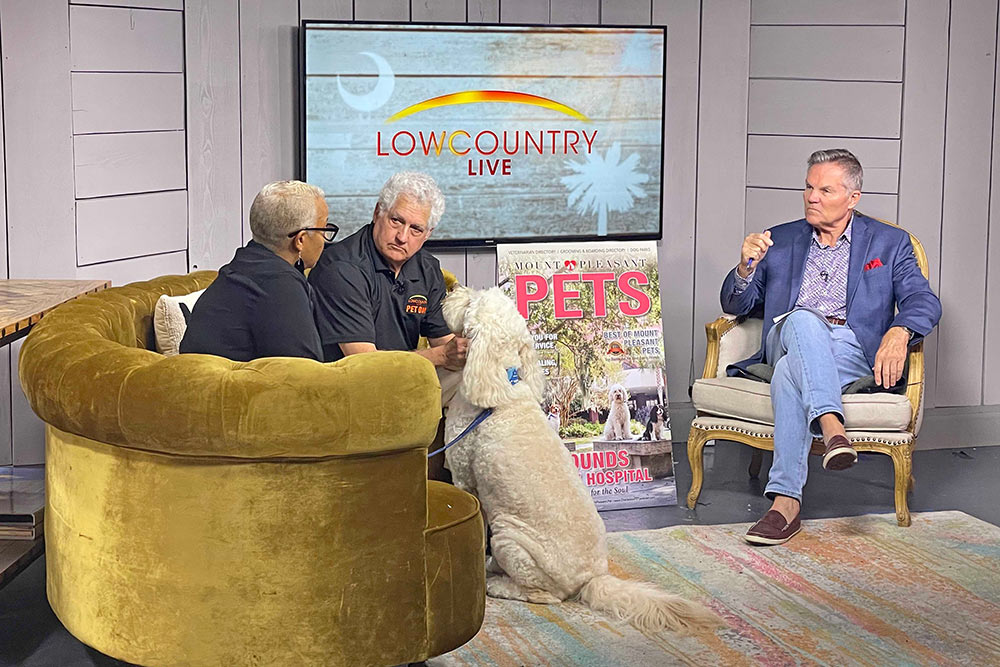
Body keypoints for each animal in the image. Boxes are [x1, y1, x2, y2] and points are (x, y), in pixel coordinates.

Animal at [442, 288, 716, 636]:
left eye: (472, 300)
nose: (453, 291)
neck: (502, 385)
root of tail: (591, 579)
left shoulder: (464, 480)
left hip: (509, 536)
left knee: (543, 595)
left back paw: (498, 583)